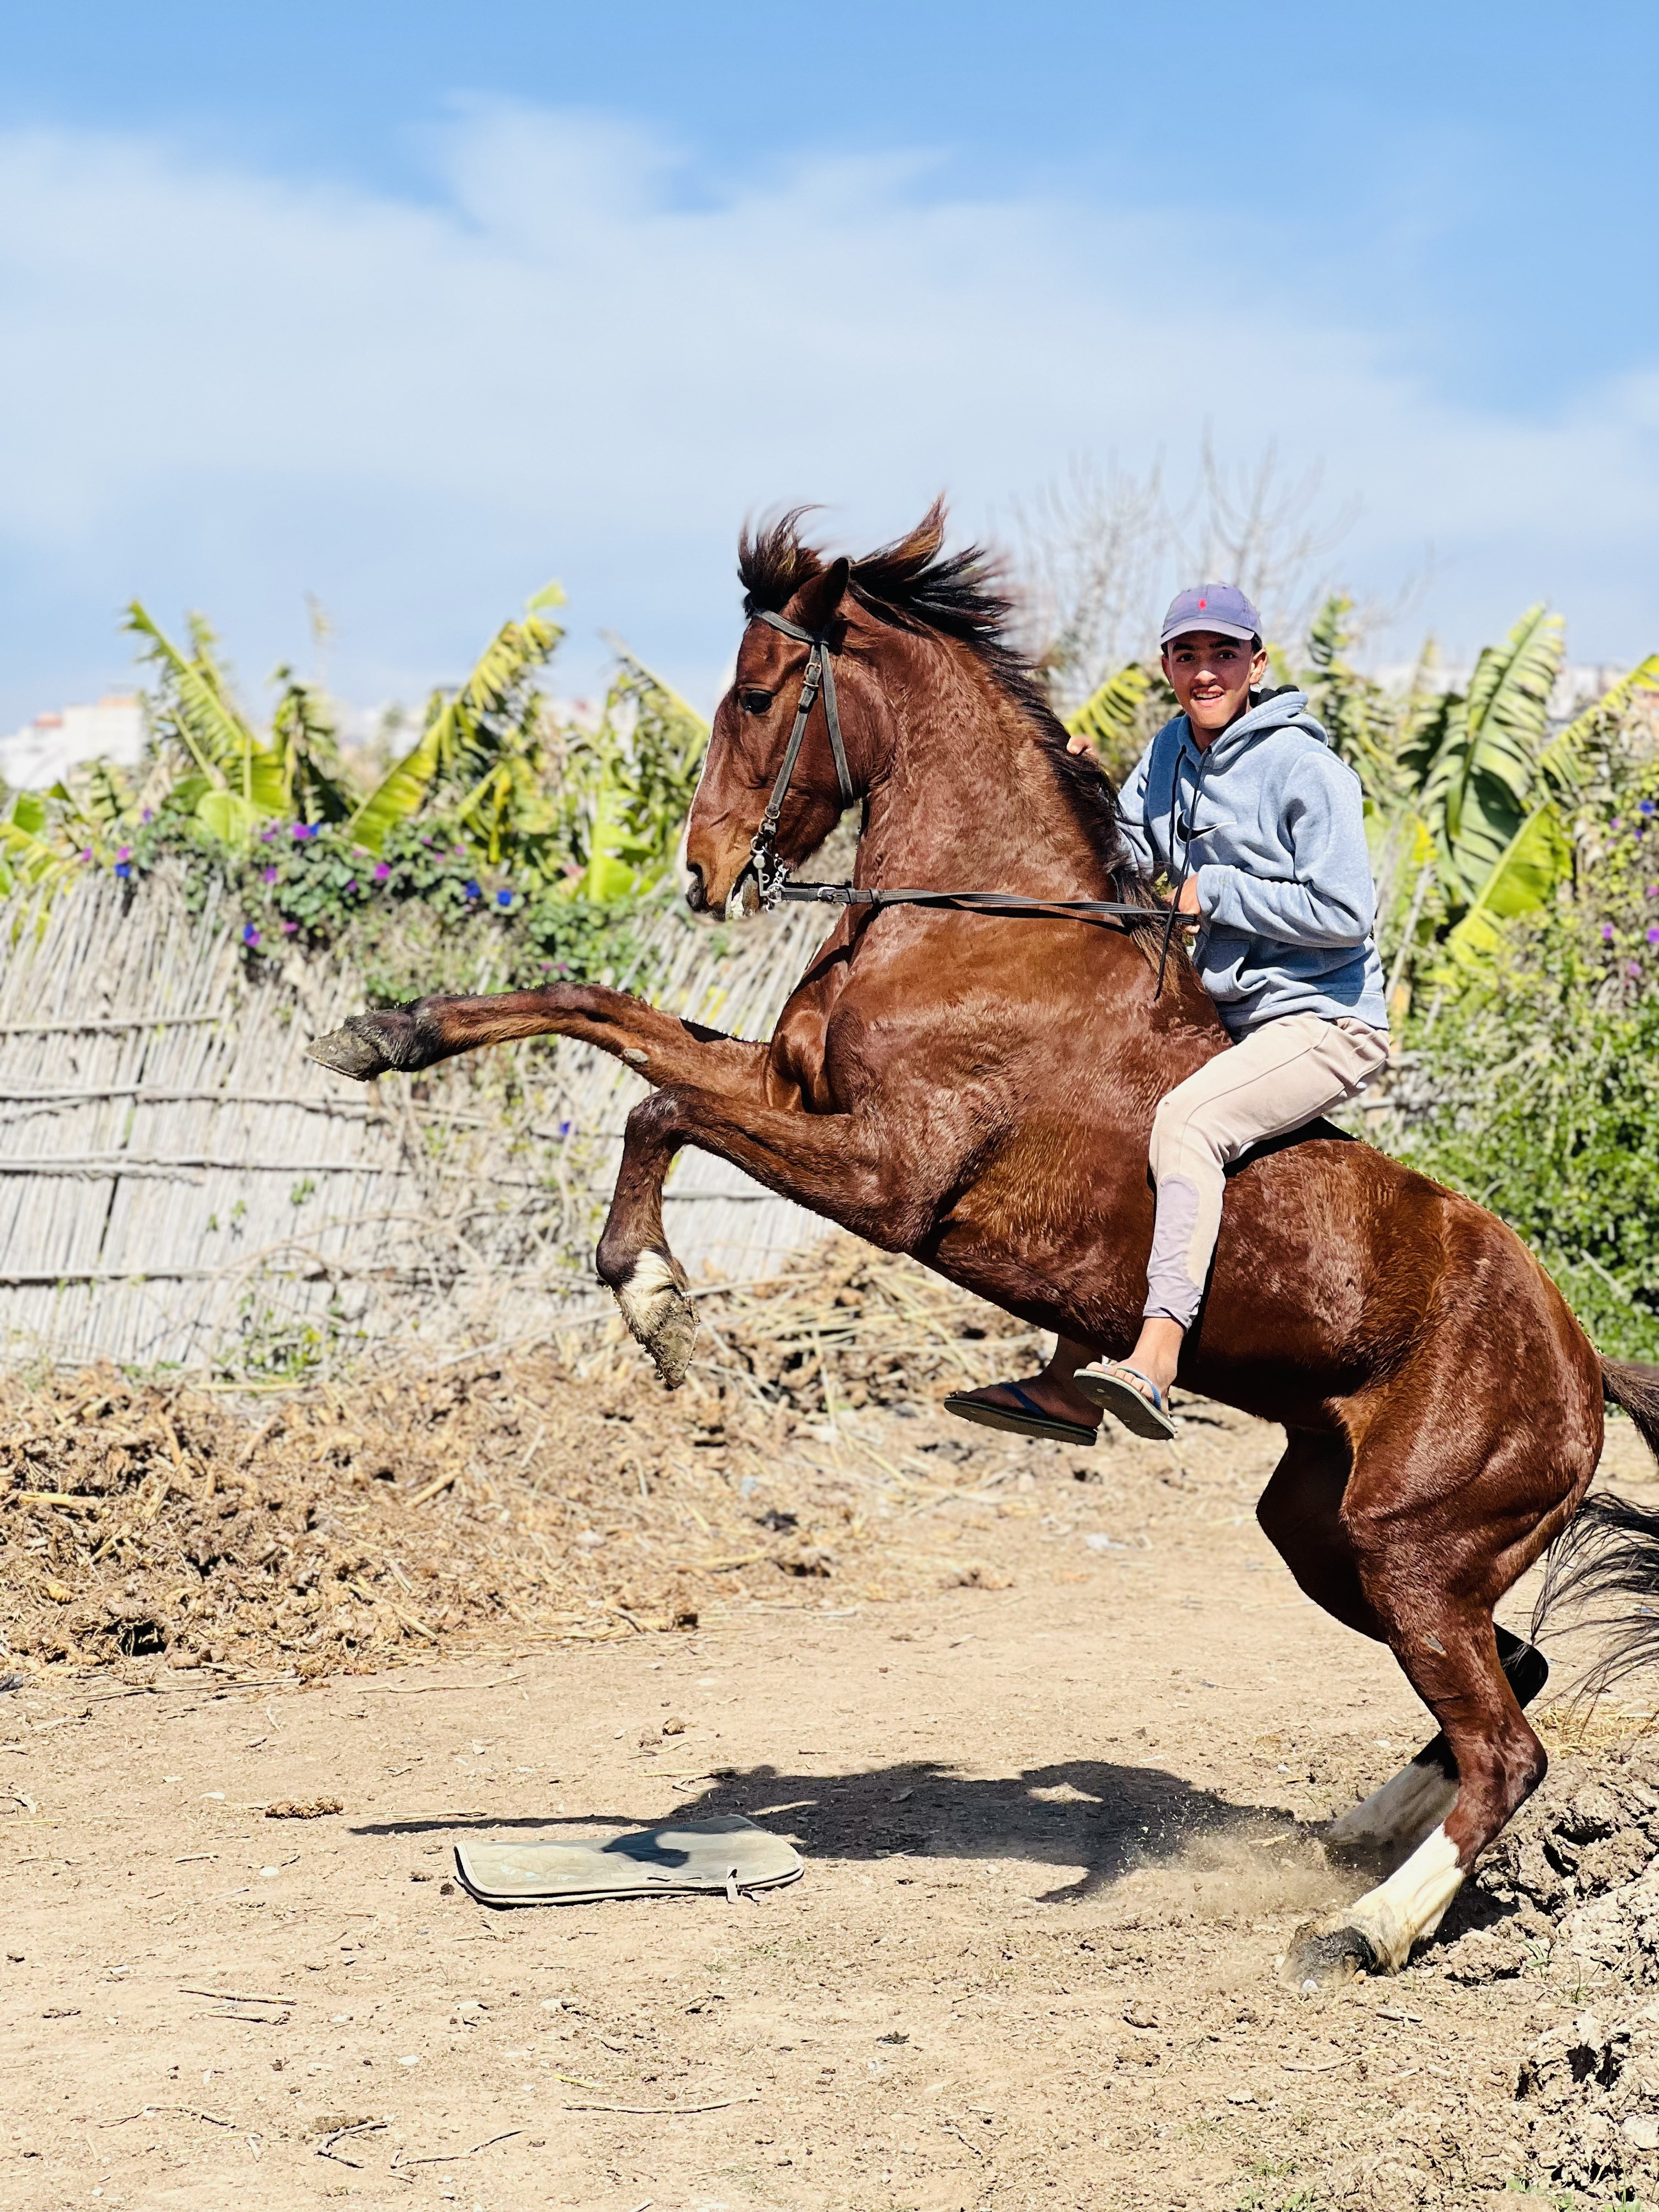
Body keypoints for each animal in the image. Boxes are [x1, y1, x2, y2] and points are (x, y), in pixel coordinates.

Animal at [310, 502, 1659, 1988]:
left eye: (759, 697)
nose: (705, 874)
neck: (974, 918)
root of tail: (1582, 1358)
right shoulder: (791, 1088)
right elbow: (605, 1020)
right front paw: (388, 1038)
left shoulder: (886, 1176)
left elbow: (658, 1099)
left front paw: (658, 1306)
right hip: (1325, 1531)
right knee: (1508, 1688)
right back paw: (1353, 1834)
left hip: (1410, 1545)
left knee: (1509, 1747)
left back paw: (1362, 1927)